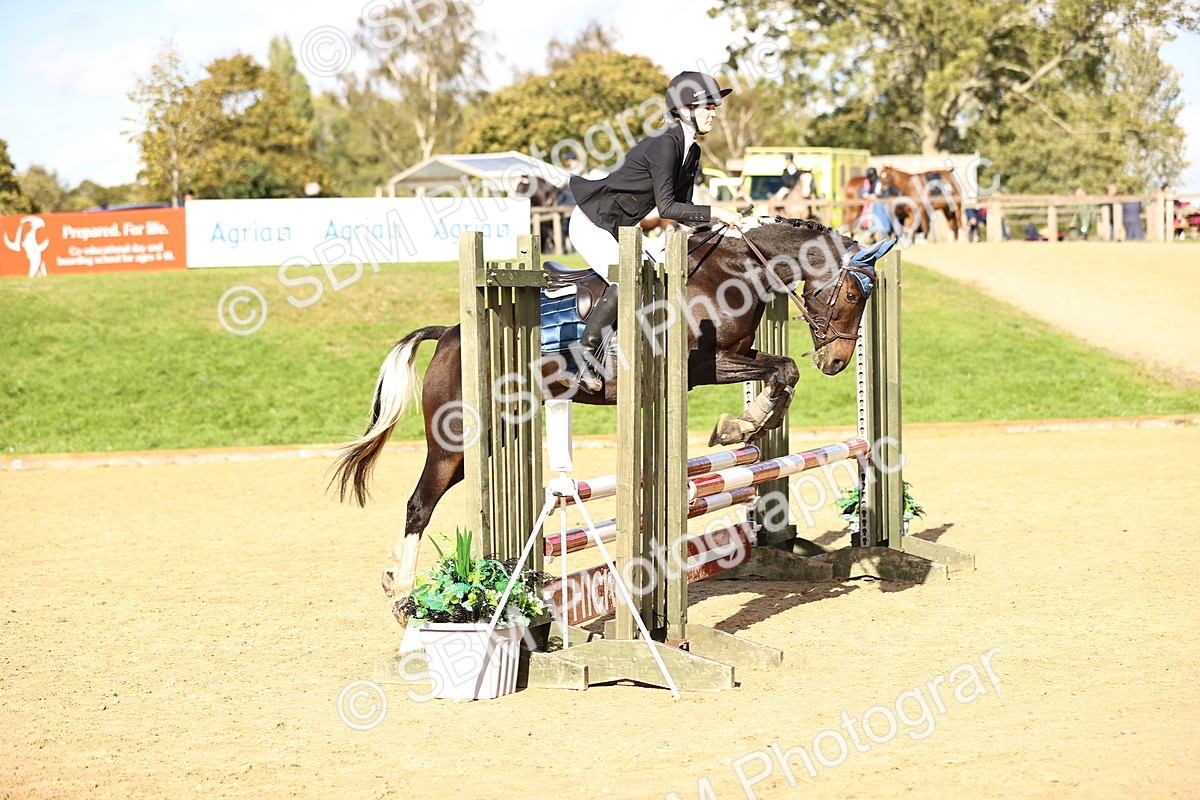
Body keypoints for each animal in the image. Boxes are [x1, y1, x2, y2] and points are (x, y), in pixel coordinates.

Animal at [329, 218, 898, 612]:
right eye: (851, 293)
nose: (836, 361)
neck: (736, 271)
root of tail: (450, 334)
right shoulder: (699, 364)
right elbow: (782, 369)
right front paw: (742, 422)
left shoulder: (733, 356)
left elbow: (782, 371)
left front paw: (747, 422)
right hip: (455, 442)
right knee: (418, 505)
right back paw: (403, 592)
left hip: (491, 442)